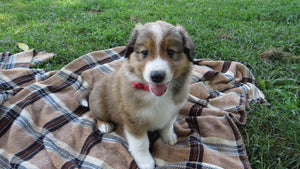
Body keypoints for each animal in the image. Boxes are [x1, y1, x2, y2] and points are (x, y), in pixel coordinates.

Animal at [78, 21, 193, 169]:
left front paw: (169, 136)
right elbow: (141, 144)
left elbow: (168, 124)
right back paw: (104, 125)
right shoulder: (134, 120)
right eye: (144, 52)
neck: (155, 94)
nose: (157, 76)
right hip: (99, 104)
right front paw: (146, 162)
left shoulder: (172, 109)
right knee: (95, 115)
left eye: (171, 52)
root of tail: (92, 91)